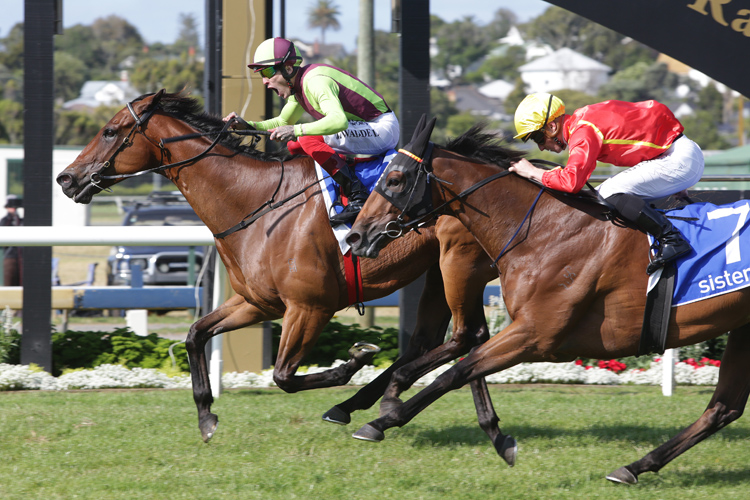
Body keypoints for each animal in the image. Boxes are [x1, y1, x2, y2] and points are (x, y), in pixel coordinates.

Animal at [57, 91, 524, 460]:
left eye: (110, 131)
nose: (66, 178)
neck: (256, 202)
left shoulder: (309, 307)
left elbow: (283, 376)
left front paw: (355, 359)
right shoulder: (256, 302)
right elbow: (195, 334)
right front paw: (206, 416)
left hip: (458, 265)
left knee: (468, 336)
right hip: (437, 272)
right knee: (441, 340)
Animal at [348, 119, 750, 482]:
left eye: (394, 180)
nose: (355, 235)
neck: (542, 229)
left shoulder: (536, 334)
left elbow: (455, 373)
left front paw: (382, 420)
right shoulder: (529, 331)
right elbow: (457, 366)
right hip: (742, 330)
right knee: (723, 408)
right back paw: (634, 467)